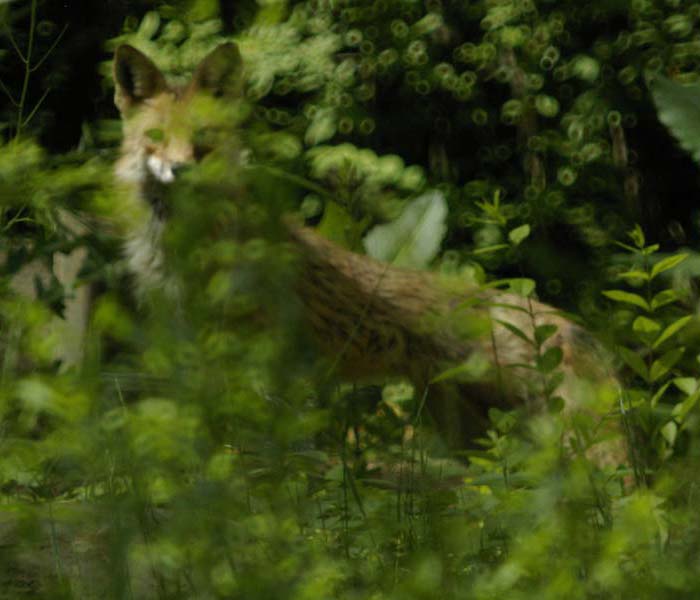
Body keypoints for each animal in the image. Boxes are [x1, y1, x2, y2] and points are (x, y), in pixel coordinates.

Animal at [112, 43, 627, 469]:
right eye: (156, 135)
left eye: (204, 136)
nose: (179, 170)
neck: (180, 245)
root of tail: (563, 321)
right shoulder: (188, 340)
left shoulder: (259, 353)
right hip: (472, 434)